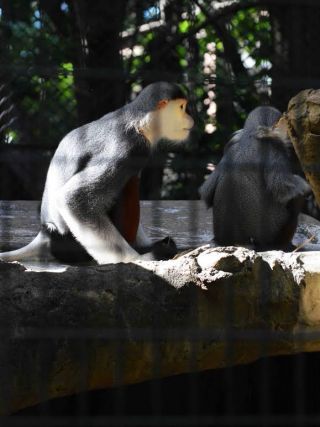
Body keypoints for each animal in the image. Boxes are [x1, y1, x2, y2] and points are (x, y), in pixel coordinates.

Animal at [0, 81, 194, 264]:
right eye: (182, 107)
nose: (191, 119)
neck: (139, 122)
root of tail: (46, 232)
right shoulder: (132, 147)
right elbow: (76, 199)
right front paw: (138, 259)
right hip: (70, 244)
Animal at [199, 107, 312, 252]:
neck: (251, 133)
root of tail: (235, 241)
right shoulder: (274, 146)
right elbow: (289, 191)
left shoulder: (232, 142)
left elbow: (206, 192)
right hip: (270, 235)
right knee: (295, 201)